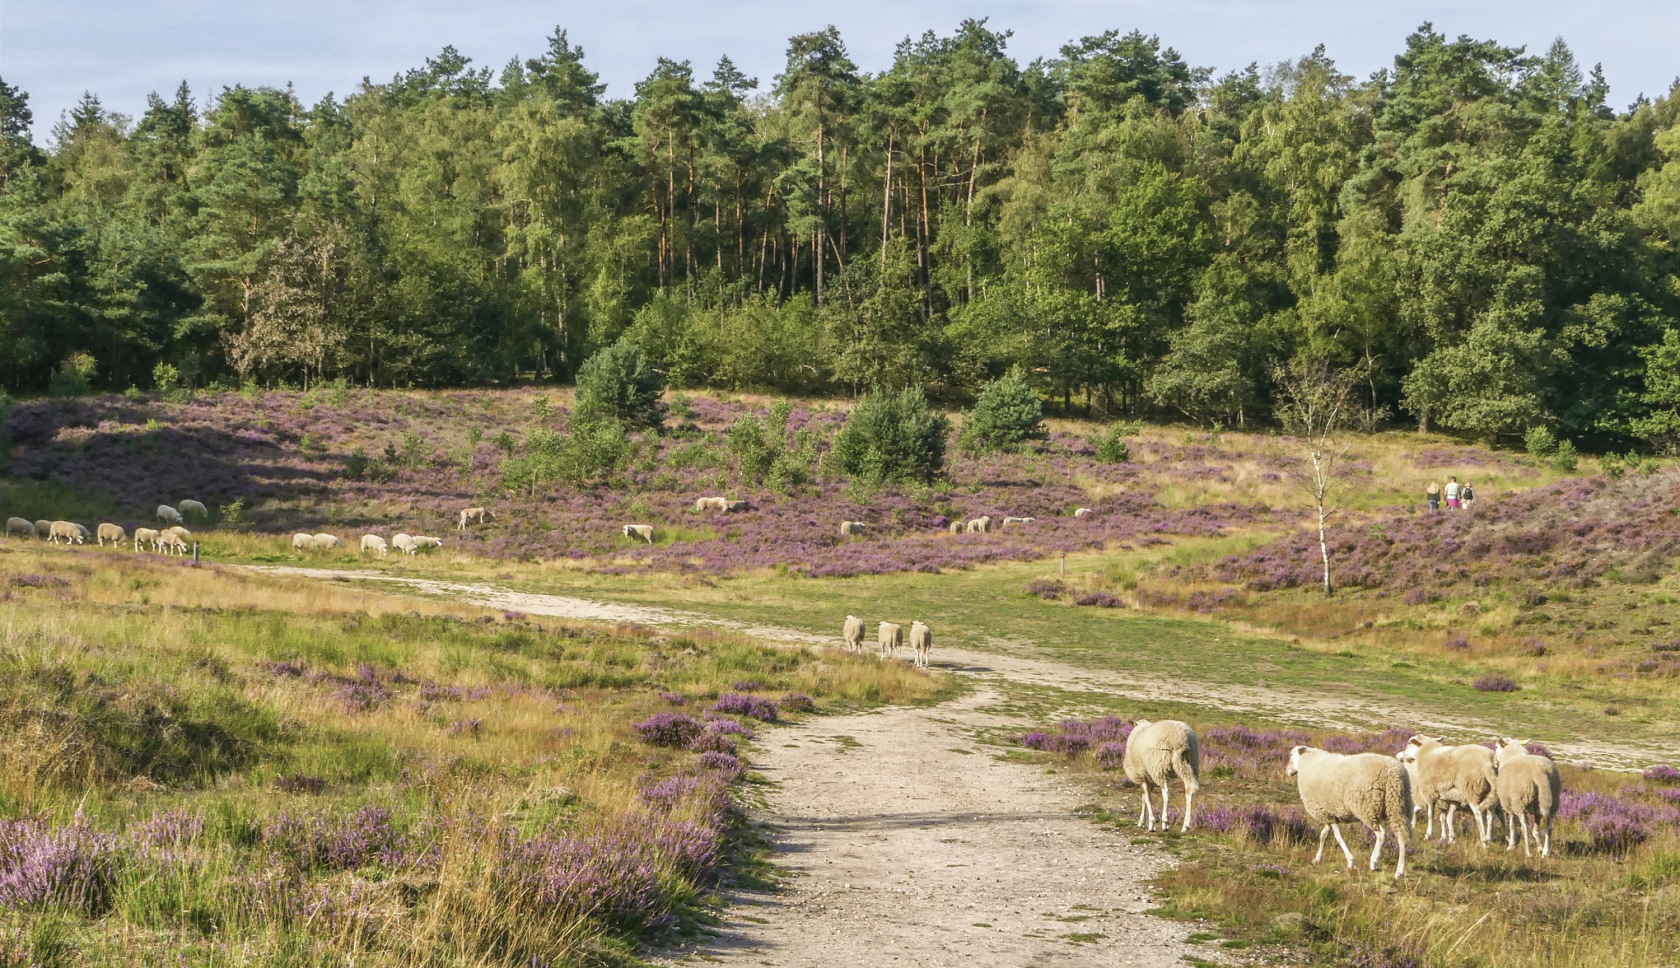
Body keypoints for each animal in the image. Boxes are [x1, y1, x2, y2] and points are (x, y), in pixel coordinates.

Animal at [1290, 746, 1411, 880]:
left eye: (1291, 755)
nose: (1287, 771)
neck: (1307, 763)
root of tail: (1392, 773)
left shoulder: (1327, 814)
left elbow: (1338, 837)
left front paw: (1350, 861)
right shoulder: (1329, 814)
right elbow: (1323, 835)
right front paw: (1317, 858)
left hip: (1368, 808)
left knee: (1381, 834)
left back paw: (1374, 862)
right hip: (1399, 805)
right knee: (1402, 837)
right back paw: (1399, 871)